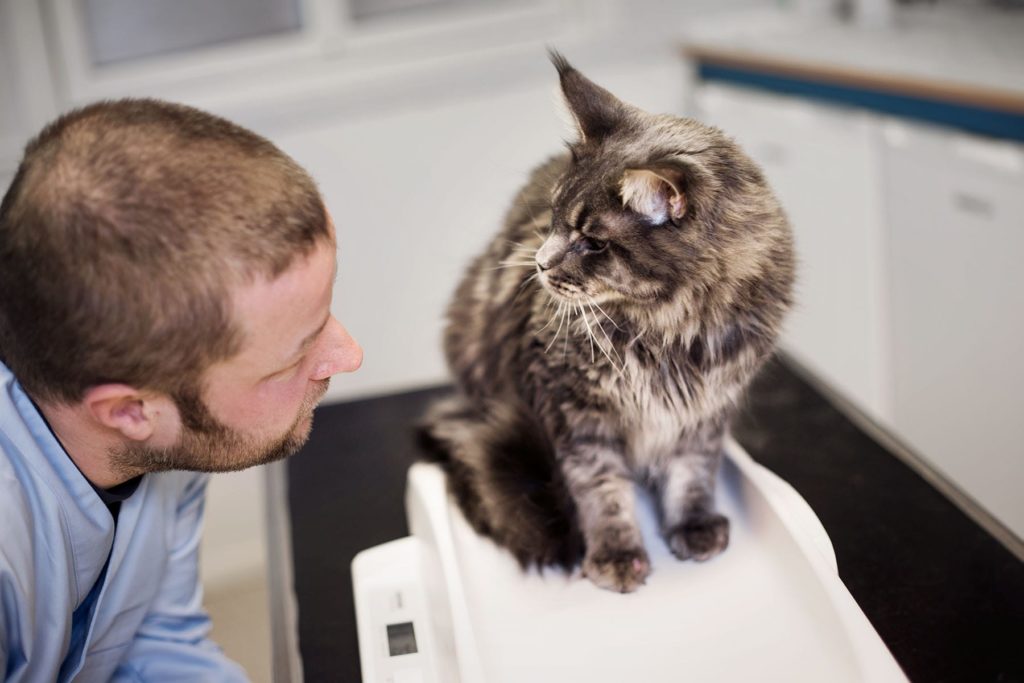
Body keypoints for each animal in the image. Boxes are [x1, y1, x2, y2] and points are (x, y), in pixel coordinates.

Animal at [419, 54, 794, 593]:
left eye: (593, 242)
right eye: (553, 218)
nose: (539, 264)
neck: (669, 332)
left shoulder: (705, 412)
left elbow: (693, 472)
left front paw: (693, 525)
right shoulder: (575, 411)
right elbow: (601, 489)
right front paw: (617, 554)